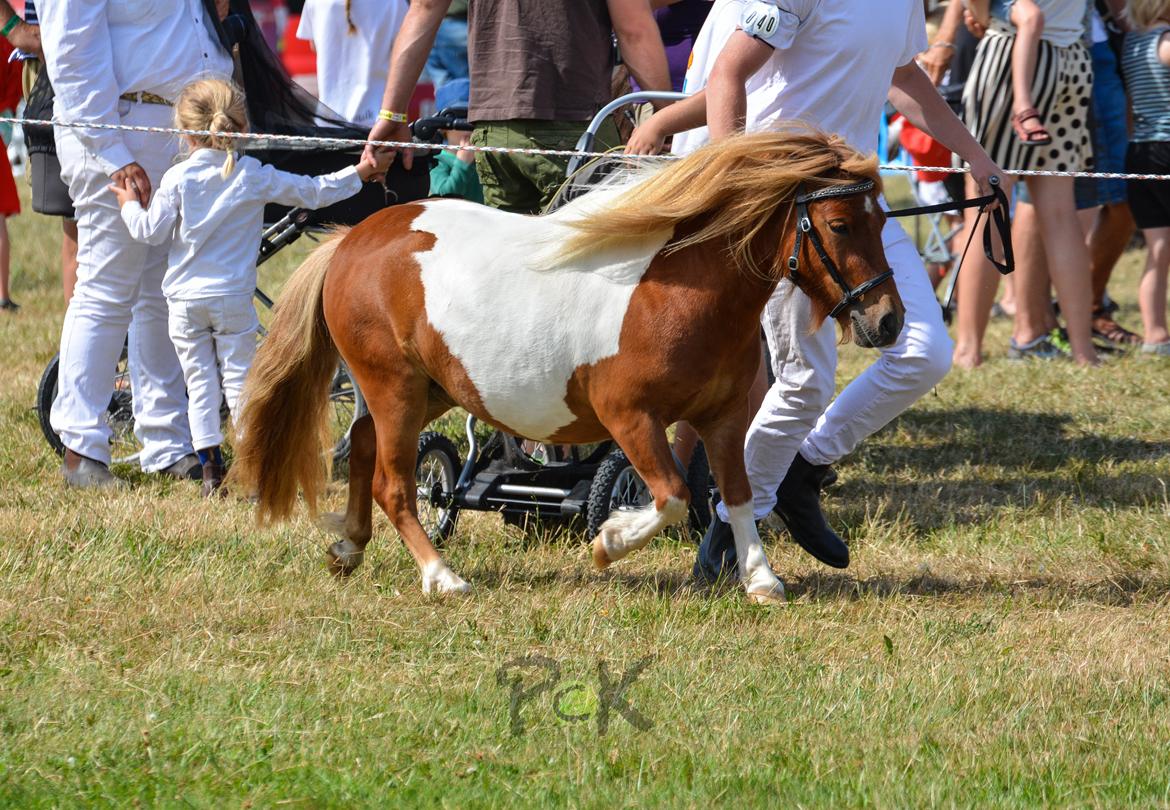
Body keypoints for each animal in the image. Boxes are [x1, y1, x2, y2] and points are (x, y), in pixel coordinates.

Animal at [230, 128, 903, 599]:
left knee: (366, 448)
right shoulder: (629, 418)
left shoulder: (724, 418)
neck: (680, 293)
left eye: (882, 219)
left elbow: (733, 494)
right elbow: (673, 495)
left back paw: (348, 548)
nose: (888, 321)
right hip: (393, 385)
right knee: (392, 483)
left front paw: (761, 580)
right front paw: (609, 543)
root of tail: (352, 239)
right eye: (839, 224)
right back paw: (441, 577)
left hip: (428, 389)